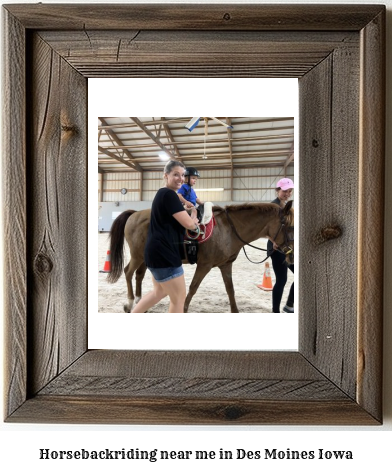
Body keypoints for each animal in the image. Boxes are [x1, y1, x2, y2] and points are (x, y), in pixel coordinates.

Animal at [107, 202, 294, 312]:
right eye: (290, 226)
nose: (291, 256)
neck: (228, 230)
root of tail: (135, 213)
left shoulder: (226, 265)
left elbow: (230, 290)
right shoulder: (204, 265)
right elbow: (193, 288)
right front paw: (183, 309)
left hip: (147, 258)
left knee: (139, 275)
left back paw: (140, 302)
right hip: (137, 255)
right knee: (128, 272)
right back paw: (130, 303)